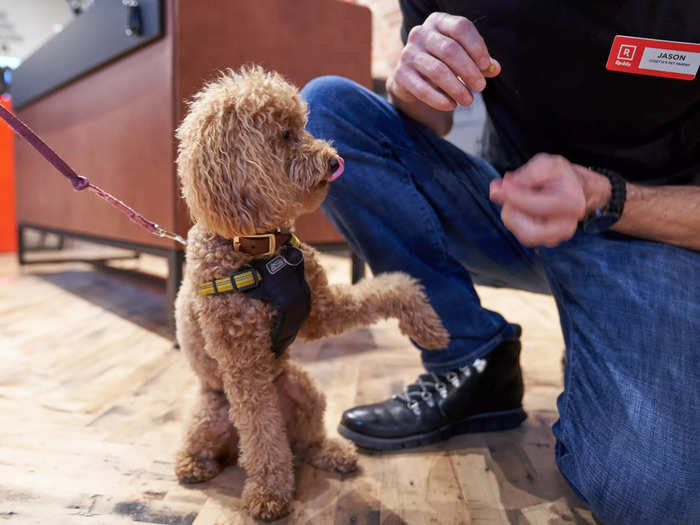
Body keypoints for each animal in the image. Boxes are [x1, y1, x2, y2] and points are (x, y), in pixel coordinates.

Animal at [174, 66, 448, 520]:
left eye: (302, 126)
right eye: (284, 136)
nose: (335, 161)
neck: (261, 248)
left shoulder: (320, 310)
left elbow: (386, 288)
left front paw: (427, 324)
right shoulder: (245, 368)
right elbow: (263, 436)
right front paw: (269, 493)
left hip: (304, 391)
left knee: (305, 439)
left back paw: (333, 454)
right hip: (215, 409)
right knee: (230, 443)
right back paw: (194, 464)